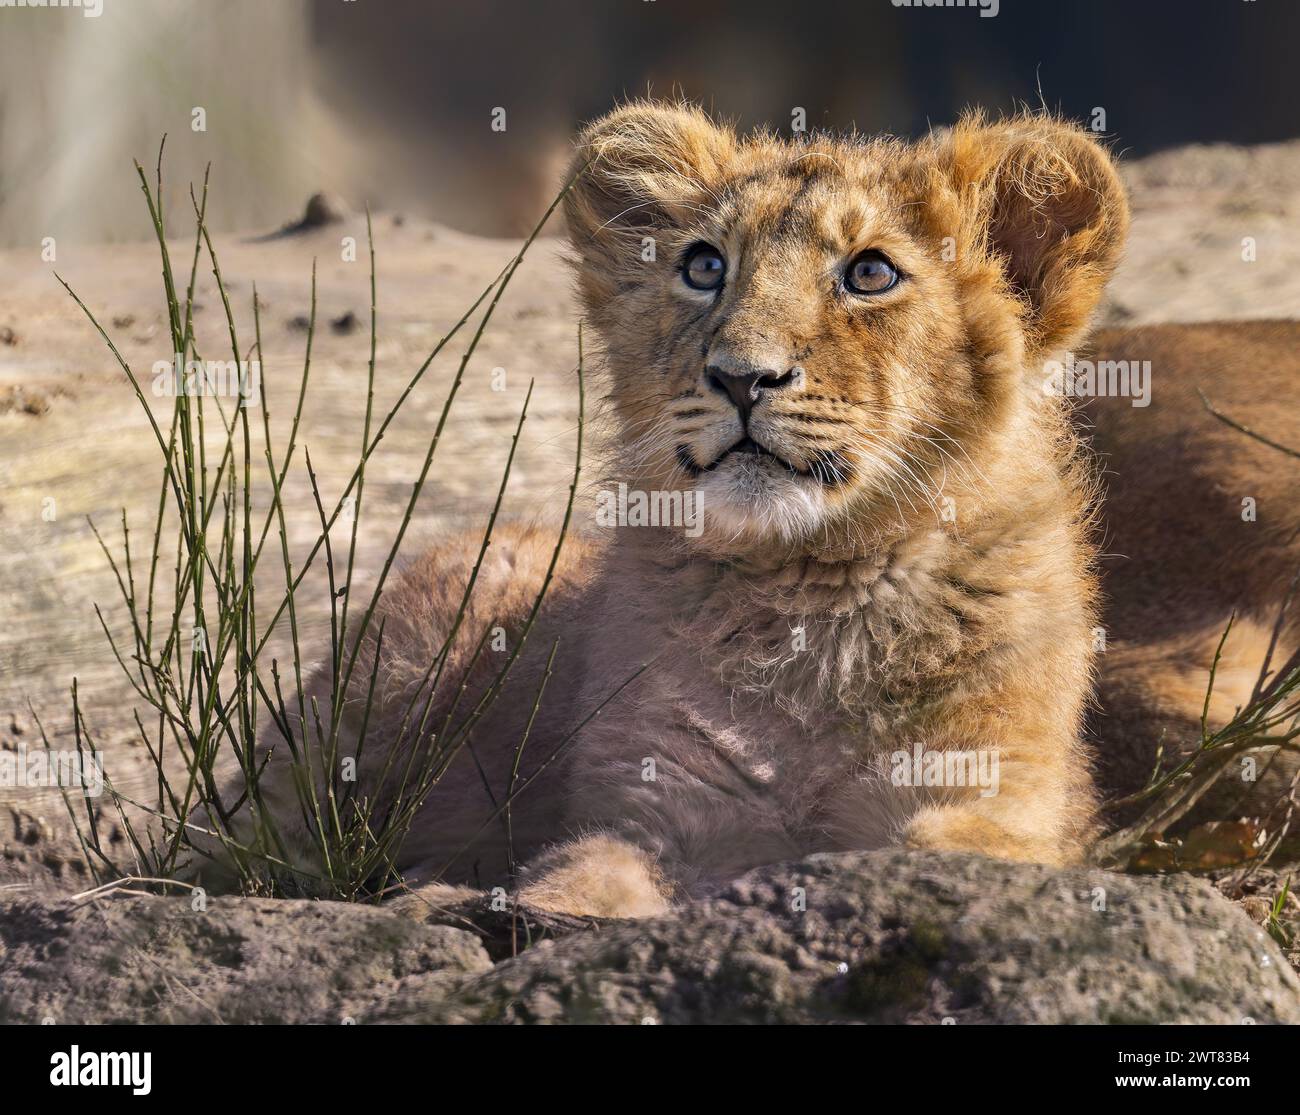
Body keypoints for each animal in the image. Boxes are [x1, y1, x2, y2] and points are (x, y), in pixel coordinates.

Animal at [204, 103, 1300, 917]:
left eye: (869, 272)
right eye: (703, 266)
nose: (740, 376)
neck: (818, 590)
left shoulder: (997, 792)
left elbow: (953, 855)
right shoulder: (658, 806)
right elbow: (591, 878)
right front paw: (523, 912)